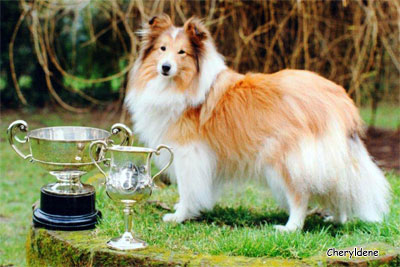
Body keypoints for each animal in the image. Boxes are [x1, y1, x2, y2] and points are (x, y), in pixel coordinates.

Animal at [123, 14, 390, 232]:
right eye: (162, 48)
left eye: (182, 52)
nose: (165, 67)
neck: (183, 85)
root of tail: (341, 101)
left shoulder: (189, 154)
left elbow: (188, 189)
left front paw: (179, 216)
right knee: (340, 189)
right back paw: (336, 219)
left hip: (285, 159)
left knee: (300, 195)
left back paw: (290, 228)